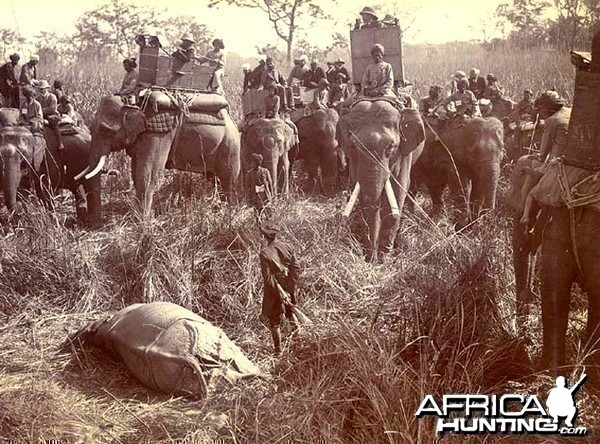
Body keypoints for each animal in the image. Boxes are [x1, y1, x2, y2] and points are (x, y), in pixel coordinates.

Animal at [78, 94, 240, 218]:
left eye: (106, 130)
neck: (135, 102)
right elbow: (135, 171)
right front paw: (141, 216)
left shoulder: (158, 134)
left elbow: (147, 173)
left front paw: (142, 221)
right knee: (214, 178)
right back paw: (219, 207)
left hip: (229, 147)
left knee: (228, 178)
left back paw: (229, 212)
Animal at [338, 99, 426, 262]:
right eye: (354, 146)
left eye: (390, 147)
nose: (370, 259)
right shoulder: (353, 159)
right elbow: (361, 193)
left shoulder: (403, 152)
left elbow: (397, 194)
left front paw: (384, 257)